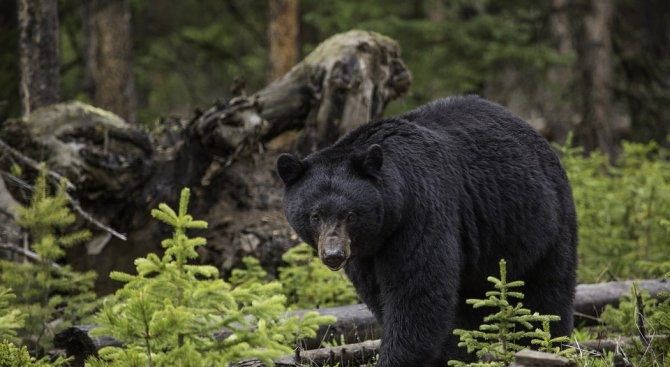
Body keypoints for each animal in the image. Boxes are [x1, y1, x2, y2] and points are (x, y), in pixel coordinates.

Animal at [276, 96, 576, 366]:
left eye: (350, 214)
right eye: (315, 215)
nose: (334, 254)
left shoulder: (420, 213)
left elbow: (418, 292)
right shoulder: (365, 254)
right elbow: (380, 295)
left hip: (542, 223)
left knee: (547, 294)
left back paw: (545, 344)